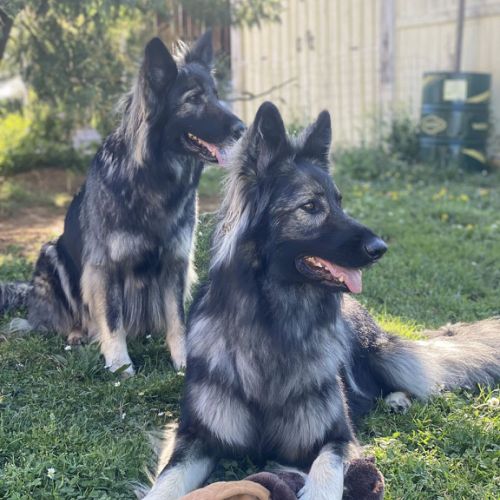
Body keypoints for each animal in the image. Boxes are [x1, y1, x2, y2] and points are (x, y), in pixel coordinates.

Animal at [0, 32, 245, 376]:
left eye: (216, 95)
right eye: (194, 99)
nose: (242, 129)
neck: (153, 179)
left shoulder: (175, 264)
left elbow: (177, 320)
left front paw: (183, 361)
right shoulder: (105, 268)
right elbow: (112, 320)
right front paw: (120, 366)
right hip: (51, 254)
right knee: (61, 319)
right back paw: (77, 334)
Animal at [143, 102, 500, 499]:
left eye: (340, 203)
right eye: (311, 206)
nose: (381, 249)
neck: (275, 326)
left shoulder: (336, 438)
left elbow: (326, 475)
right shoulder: (194, 437)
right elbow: (166, 483)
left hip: (383, 354)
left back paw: (396, 399)